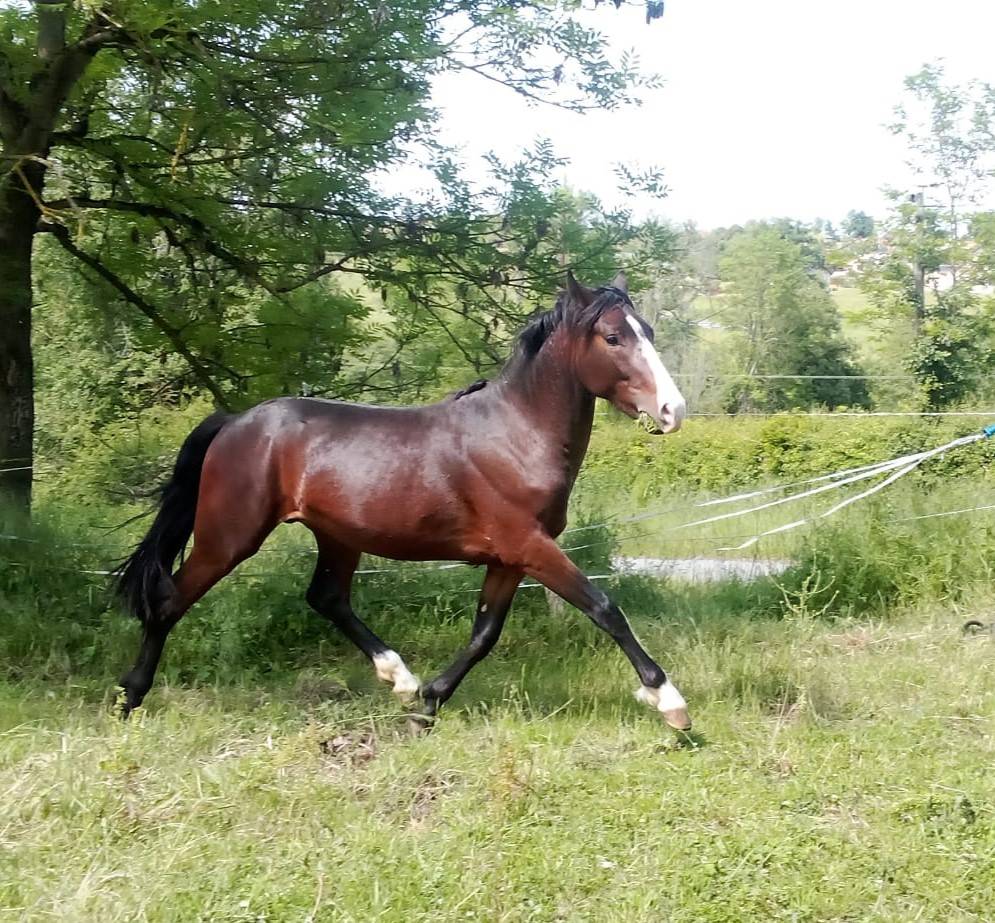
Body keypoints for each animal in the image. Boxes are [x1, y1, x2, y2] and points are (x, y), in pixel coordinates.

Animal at [115, 272, 692, 731]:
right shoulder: (529, 546)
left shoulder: (508, 558)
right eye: (613, 336)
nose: (673, 410)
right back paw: (130, 697)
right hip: (229, 537)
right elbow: (604, 608)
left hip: (337, 536)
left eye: (649, 332)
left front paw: (429, 703)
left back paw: (401, 679)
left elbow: (484, 634)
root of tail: (234, 422)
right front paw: (669, 702)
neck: (517, 435)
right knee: (168, 602)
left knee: (327, 598)